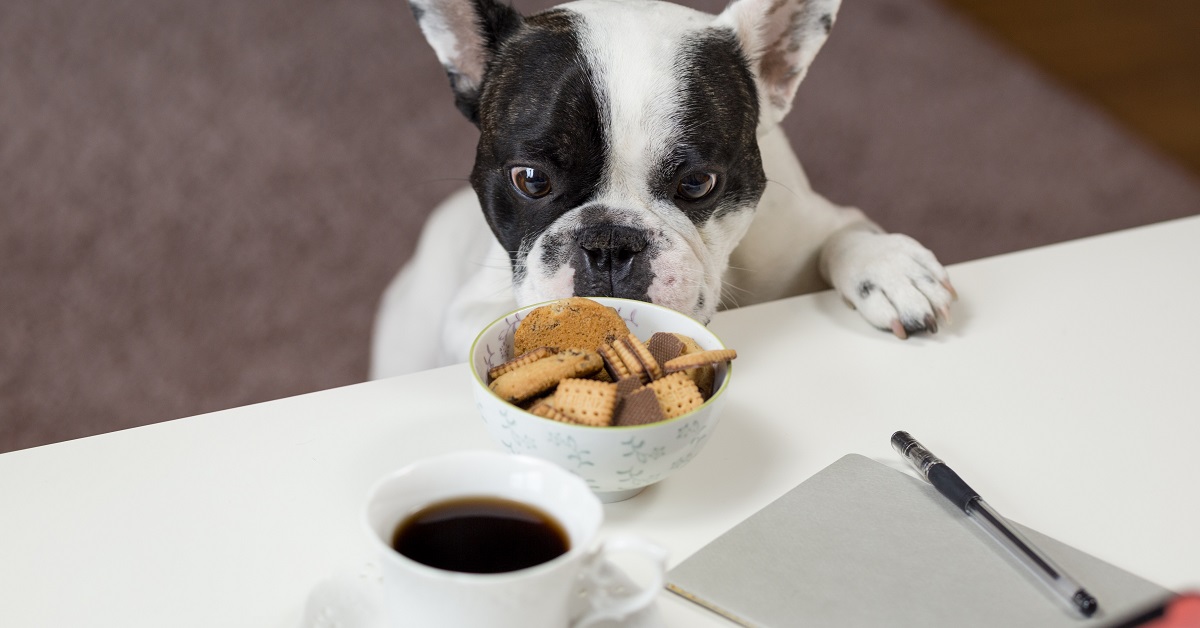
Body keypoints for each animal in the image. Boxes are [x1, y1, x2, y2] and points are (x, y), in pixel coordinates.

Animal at [369, 0, 950, 377]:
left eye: (697, 183)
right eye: (530, 180)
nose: (609, 243)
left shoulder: (808, 227)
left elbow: (845, 234)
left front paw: (889, 268)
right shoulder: (471, 308)